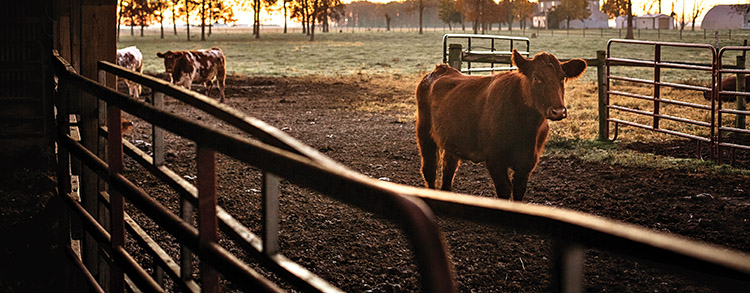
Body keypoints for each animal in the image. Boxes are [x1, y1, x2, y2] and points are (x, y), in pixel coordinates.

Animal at [418, 50, 588, 201]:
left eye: (562, 78)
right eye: (536, 78)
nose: (559, 111)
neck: (525, 129)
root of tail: (441, 69)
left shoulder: (528, 162)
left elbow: (519, 191)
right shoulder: (495, 159)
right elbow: (504, 190)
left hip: (452, 141)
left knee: (448, 170)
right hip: (424, 134)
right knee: (430, 170)